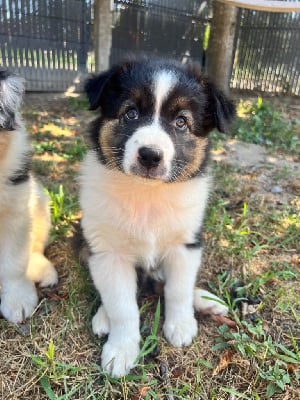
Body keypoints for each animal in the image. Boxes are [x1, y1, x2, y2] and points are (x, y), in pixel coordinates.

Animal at [79, 57, 234, 378]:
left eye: (181, 122)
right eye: (131, 113)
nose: (150, 155)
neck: (147, 194)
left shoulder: (186, 245)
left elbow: (178, 290)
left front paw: (181, 324)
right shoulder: (107, 252)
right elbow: (122, 306)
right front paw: (121, 350)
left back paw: (205, 301)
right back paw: (103, 317)